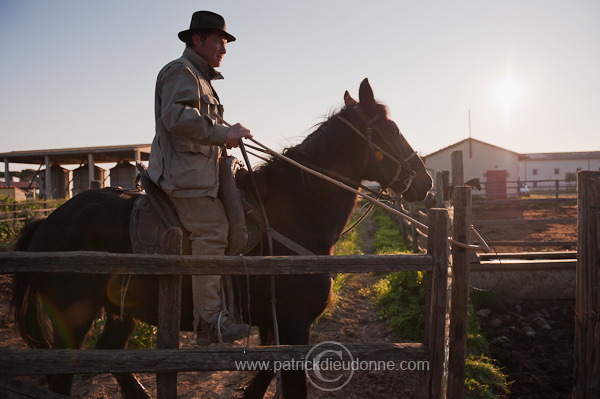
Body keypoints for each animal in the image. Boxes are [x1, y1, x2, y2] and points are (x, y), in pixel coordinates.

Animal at [9, 79, 432, 399]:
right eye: (393, 130)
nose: (425, 181)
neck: (293, 213)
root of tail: (47, 223)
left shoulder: (274, 327)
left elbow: (262, 379)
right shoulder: (294, 325)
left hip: (119, 311)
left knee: (112, 355)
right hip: (73, 318)